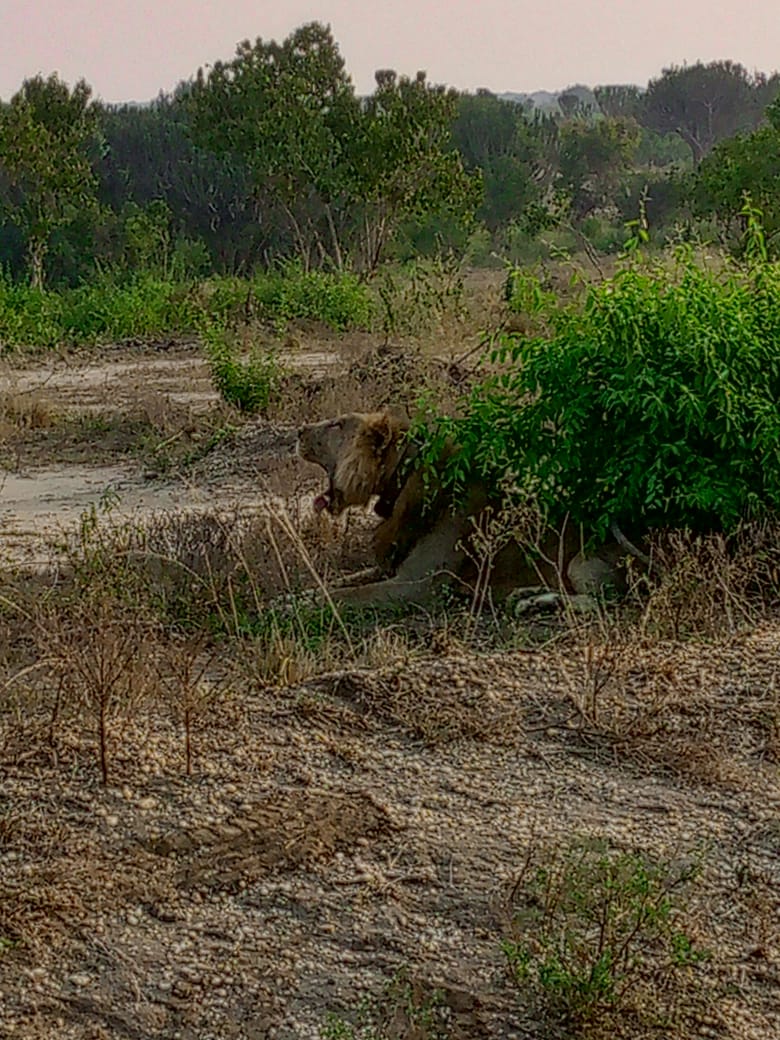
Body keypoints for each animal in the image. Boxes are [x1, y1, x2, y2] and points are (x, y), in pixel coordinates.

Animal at [296, 409, 633, 609]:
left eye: (337, 425)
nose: (299, 430)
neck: (402, 482)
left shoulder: (414, 586)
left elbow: (343, 595)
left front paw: (295, 607)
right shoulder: (388, 567)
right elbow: (335, 583)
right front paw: (294, 597)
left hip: (582, 562)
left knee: (598, 602)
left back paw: (535, 602)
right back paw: (526, 595)